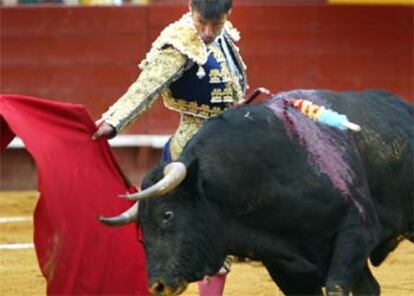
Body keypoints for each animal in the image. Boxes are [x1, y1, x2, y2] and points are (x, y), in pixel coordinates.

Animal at [101, 89, 414, 296]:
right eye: (140, 226)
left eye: (167, 214)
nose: (158, 285)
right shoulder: (283, 264)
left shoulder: (356, 231)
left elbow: (337, 286)